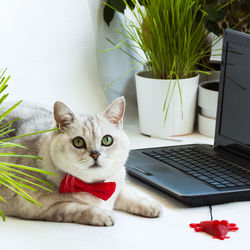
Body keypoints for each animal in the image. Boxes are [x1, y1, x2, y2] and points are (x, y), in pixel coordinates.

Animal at [0, 96, 162, 226]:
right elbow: (76, 207)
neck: (94, 186)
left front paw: (149, 205)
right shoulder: (40, 207)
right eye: (78, 142)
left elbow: (127, 194)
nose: (95, 154)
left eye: (107, 140)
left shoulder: (116, 181)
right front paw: (103, 215)